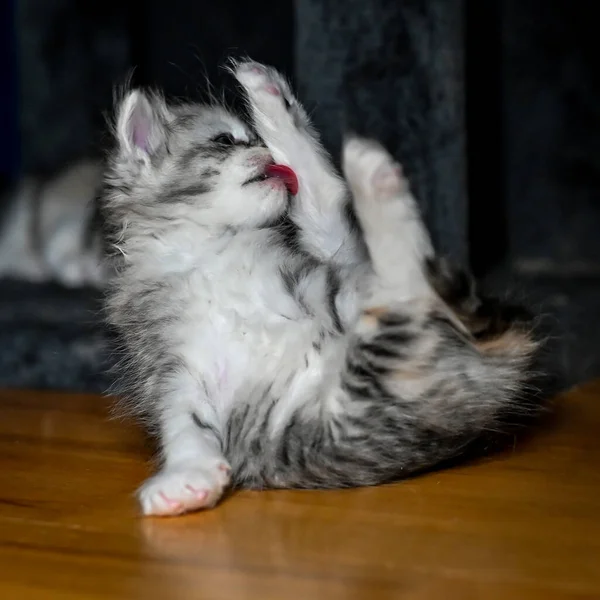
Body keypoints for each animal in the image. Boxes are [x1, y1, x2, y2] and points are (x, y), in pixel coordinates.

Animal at [99, 59, 540, 516]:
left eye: (255, 141)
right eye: (225, 140)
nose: (267, 153)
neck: (211, 252)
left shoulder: (326, 274)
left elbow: (322, 195)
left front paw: (272, 102)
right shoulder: (170, 370)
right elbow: (183, 425)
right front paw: (186, 478)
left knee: (390, 260)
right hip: (382, 371)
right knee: (405, 288)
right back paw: (373, 174)